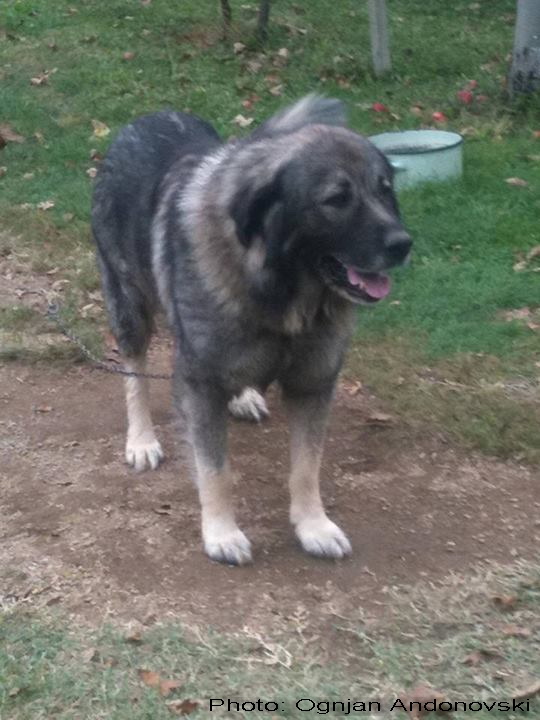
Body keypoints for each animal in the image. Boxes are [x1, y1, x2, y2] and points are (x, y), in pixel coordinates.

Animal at [90, 95, 412, 564]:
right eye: (336, 199)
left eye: (384, 189)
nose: (403, 244)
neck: (280, 288)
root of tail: (146, 119)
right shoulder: (201, 383)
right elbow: (215, 468)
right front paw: (221, 533)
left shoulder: (313, 383)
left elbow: (307, 466)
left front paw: (313, 526)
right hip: (129, 305)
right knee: (134, 369)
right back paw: (142, 439)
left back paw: (242, 398)